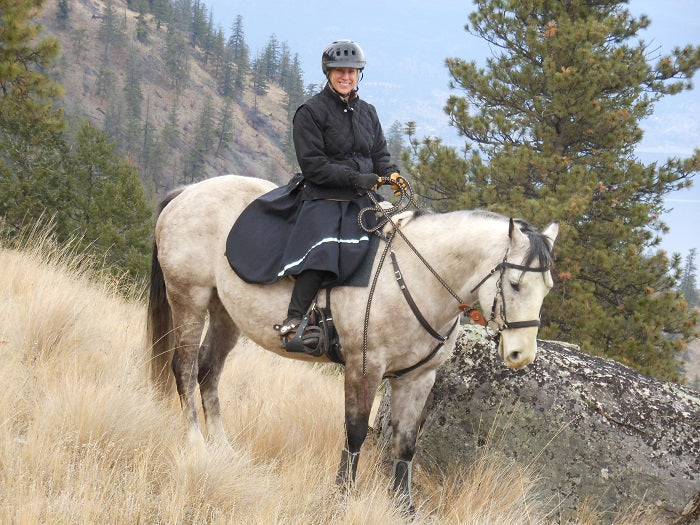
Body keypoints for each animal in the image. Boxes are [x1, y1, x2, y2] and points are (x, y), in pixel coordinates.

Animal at [147, 174, 559, 509]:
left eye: (548, 287)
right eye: (514, 284)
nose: (521, 354)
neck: (416, 275)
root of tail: (187, 192)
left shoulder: (418, 379)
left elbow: (406, 444)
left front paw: (404, 507)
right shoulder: (365, 366)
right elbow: (355, 431)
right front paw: (341, 496)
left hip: (225, 313)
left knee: (208, 372)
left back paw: (224, 449)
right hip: (189, 298)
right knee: (184, 369)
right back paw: (197, 444)